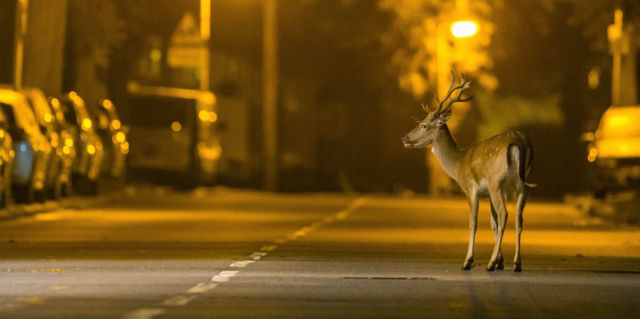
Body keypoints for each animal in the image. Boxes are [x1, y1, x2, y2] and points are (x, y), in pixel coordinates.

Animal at [400, 72, 536, 272]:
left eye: (424, 125)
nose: (404, 138)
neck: (458, 163)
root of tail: (518, 142)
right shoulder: (488, 193)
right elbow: (493, 223)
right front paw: (500, 262)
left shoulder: (471, 188)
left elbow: (473, 223)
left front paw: (469, 261)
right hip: (523, 184)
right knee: (518, 219)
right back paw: (516, 264)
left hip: (496, 181)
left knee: (505, 214)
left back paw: (490, 264)